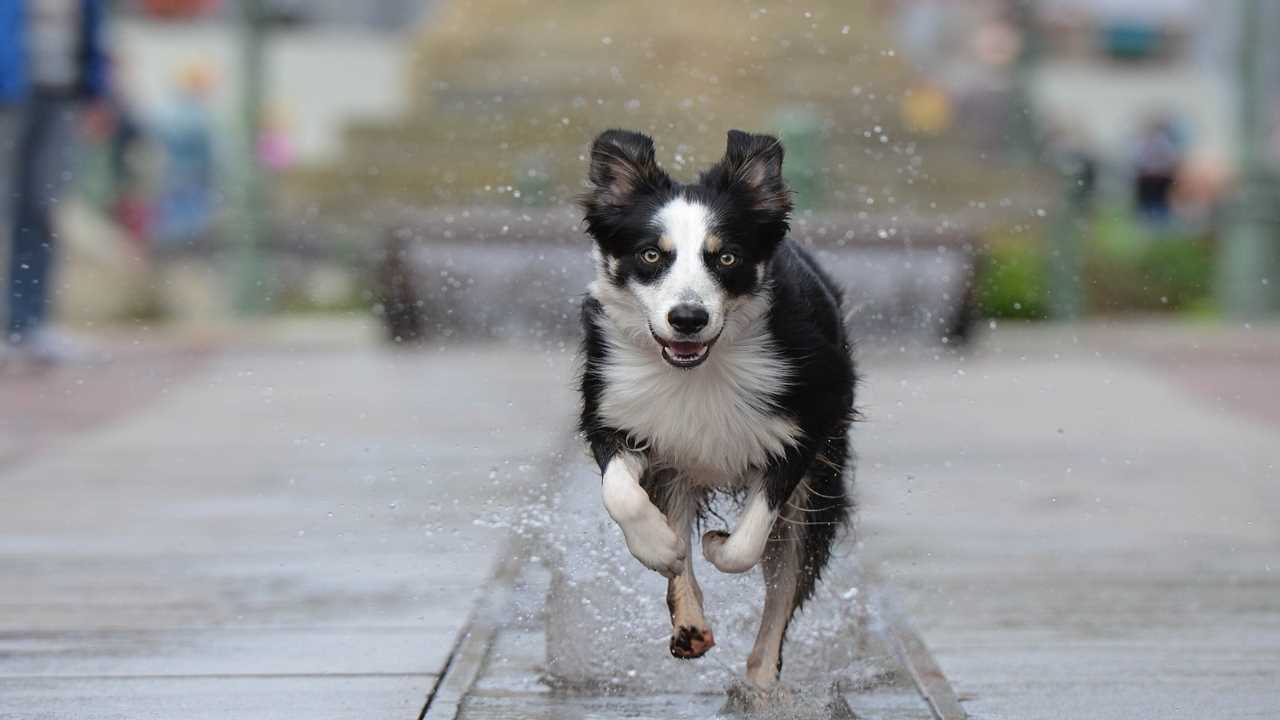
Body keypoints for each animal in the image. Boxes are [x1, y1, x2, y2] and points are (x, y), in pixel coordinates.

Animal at [581, 127, 860, 681]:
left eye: (726, 257)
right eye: (651, 255)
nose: (688, 319)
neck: (695, 373)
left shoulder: (803, 428)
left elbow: (748, 541)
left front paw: (716, 543)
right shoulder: (614, 409)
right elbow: (622, 493)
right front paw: (658, 546)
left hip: (820, 484)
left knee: (784, 586)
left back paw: (760, 680)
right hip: (679, 466)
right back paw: (689, 621)